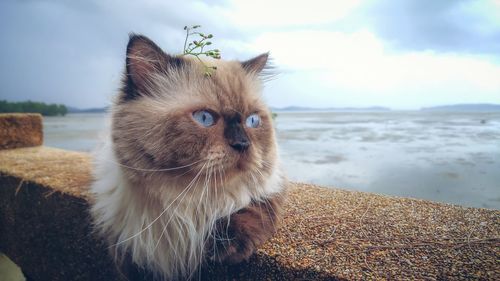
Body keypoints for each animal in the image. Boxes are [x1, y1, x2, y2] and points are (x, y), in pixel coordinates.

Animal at [89, 34, 286, 278]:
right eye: (204, 118)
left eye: (252, 121)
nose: (242, 144)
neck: (189, 208)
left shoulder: (270, 188)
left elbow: (255, 207)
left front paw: (226, 248)